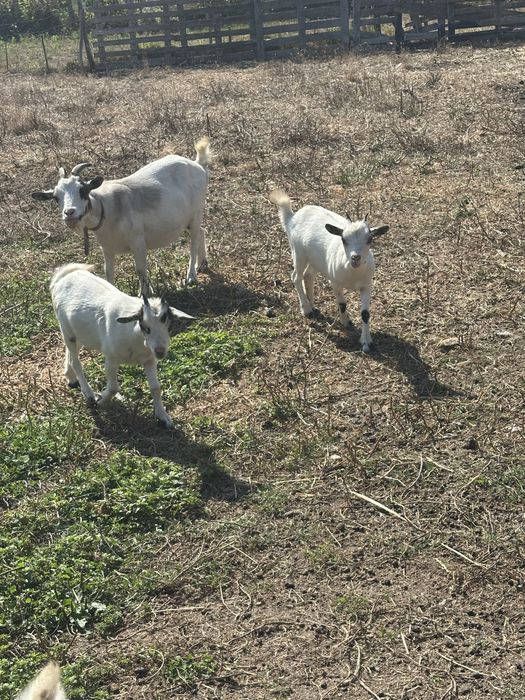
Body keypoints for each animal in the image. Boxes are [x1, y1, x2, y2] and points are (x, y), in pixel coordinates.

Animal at [33, 139, 211, 293]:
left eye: (83, 190)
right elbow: (108, 273)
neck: (106, 208)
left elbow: (140, 270)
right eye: (56, 197)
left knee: (193, 242)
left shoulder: (138, 241)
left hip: (196, 214)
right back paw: (203, 264)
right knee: (202, 232)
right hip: (186, 221)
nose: (69, 213)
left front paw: (144, 295)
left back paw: (191, 276)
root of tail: (198, 165)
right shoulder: (107, 248)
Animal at [50, 263, 193, 428]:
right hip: (66, 330)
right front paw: (102, 401)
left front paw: (163, 417)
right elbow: (113, 388)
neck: (135, 337)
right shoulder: (111, 359)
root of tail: (64, 274)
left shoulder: (150, 360)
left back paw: (70, 376)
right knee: (76, 361)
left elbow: (156, 388)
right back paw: (88, 394)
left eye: (169, 325)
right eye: (144, 326)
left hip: (78, 333)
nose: (160, 351)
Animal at [269, 189, 389, 352]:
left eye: (370, 239)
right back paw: (306, 309)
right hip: (298, 253)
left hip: (315, 261)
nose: (355, 258)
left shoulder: (366, 285)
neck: (352, 273)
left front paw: (366, 342)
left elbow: (365, 314)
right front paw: (346, 322)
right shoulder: (335, 283)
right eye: (343, 239)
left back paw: (312, 305)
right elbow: (342, 304)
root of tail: (292, 217)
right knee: (296, 276)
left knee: (308, 275)